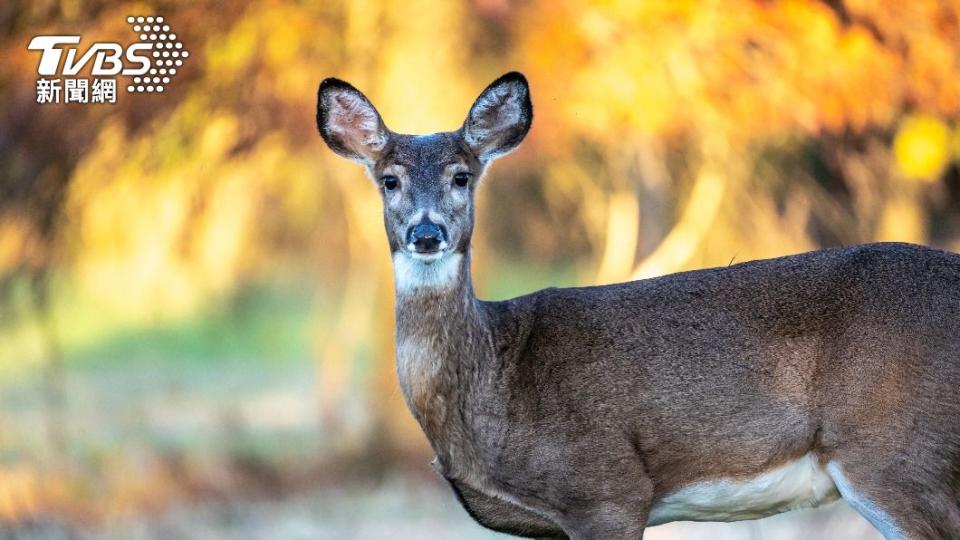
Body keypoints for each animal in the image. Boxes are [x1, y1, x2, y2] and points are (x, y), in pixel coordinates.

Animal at [318, 73, 960, 540]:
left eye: (461, 176)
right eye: (390, 180)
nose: (427, 234)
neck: (496, 383)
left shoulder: (608, 488)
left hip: (895, 450)